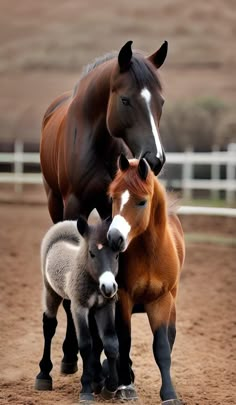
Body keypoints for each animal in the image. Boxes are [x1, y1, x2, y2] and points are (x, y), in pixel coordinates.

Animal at [40, 40, 169, 372]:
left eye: (160, 101)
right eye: (125, 100)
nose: (155, 159)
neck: (95, 139)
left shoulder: (114, 208)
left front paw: (112, 358)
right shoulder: (74, 208)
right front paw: (73, 354)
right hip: (54, 203)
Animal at [107, 154, 186, 400]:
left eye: (141, 202)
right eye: (113, 197)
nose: (114, 238)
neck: (150, 252)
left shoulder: (161, 301)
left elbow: (162, 346)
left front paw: (169, 394)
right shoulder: (123, 298)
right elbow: (124, 340)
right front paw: (125, 386)